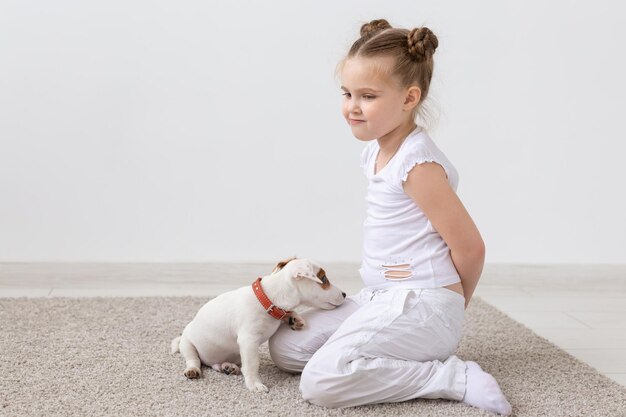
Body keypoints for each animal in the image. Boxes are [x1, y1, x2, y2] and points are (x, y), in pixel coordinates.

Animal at [169, 256, 346, 390]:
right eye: (324, 278)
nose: (344, 294)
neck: (269, 299)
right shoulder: (248, 340)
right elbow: (252, 364)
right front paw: (254, 384)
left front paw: (295, 318)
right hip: (188, 345)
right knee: (194, 360)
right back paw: (193, 370)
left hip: (232, 354)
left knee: (217, 365)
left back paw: (228, 367)